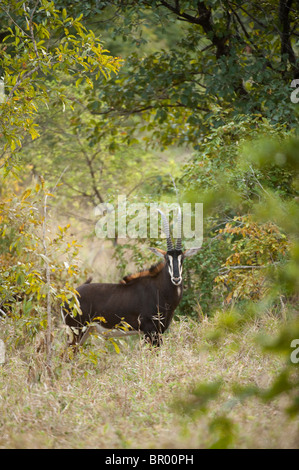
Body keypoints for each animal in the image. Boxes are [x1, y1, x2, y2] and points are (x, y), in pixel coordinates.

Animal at [62, 207, 200, 346]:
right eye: (167, 259)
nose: (176, 278)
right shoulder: (150, 330)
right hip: (76, 331)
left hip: (86, 331)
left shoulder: (160, 330)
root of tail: (68, 296)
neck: (160, 289)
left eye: (182, 258)